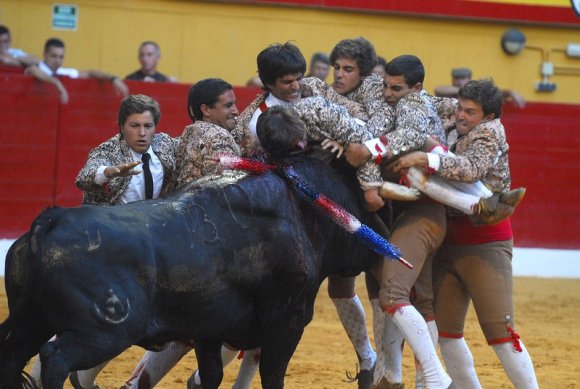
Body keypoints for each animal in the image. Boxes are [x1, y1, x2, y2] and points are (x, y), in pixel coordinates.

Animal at [1, 157, 386, 388]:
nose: (381, 243)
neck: (301, 212)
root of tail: (53, 219)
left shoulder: (209, 329)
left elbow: (211, 375)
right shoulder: (287, 323)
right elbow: (271, 374)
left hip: (31, 318)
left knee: (13, 352)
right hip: (103, 330)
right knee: (56, 357)